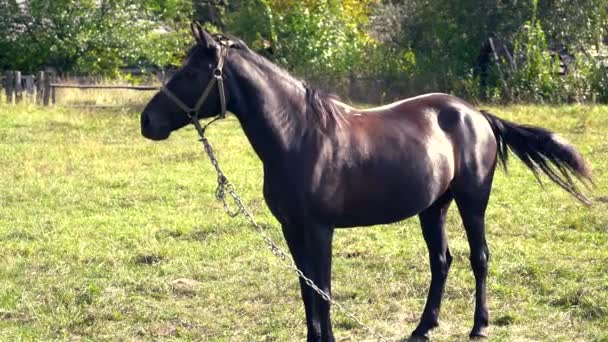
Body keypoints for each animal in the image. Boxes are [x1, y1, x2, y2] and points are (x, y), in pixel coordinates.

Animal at [141, 25, 588, 340]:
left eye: (193, 71)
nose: (148, 122)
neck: (299, 135)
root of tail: (475, 114)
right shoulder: (291, 230)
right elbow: (306, 290)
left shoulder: (319, 230)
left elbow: (322, 290)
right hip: (433, 207)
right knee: (441, 261)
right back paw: (423, 329)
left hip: (472, 202)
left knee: (480, 258)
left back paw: (479, 327)